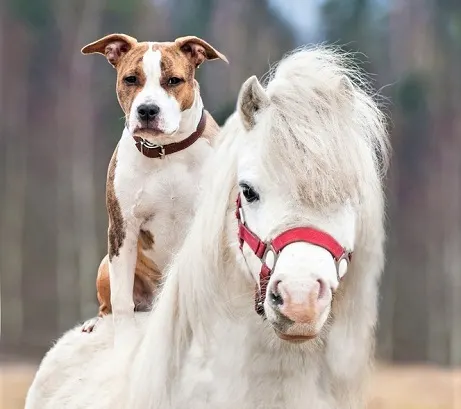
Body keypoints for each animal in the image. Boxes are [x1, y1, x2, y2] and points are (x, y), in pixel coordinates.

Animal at [80, 32, 227, 338]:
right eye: (130, 79)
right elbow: (121, 300)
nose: (147, 110)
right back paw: (96, 323)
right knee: (108, 305)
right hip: (105, 264)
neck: (165, 151)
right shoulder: (122, 228)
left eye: (173, 80)